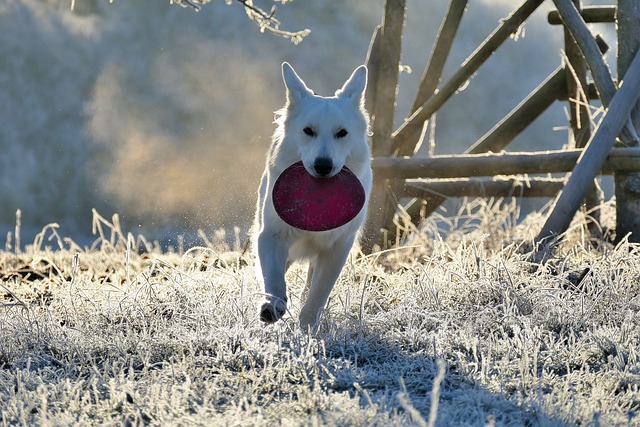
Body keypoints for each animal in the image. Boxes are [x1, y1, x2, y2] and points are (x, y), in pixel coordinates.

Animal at [254, 62, 372, 332]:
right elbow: (274, 279)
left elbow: (318, 292)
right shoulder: (271, 235)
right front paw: (272, 306)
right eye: (308, 131)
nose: (323, 166)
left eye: (342, 133)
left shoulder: (337, 248)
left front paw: (307, 326)